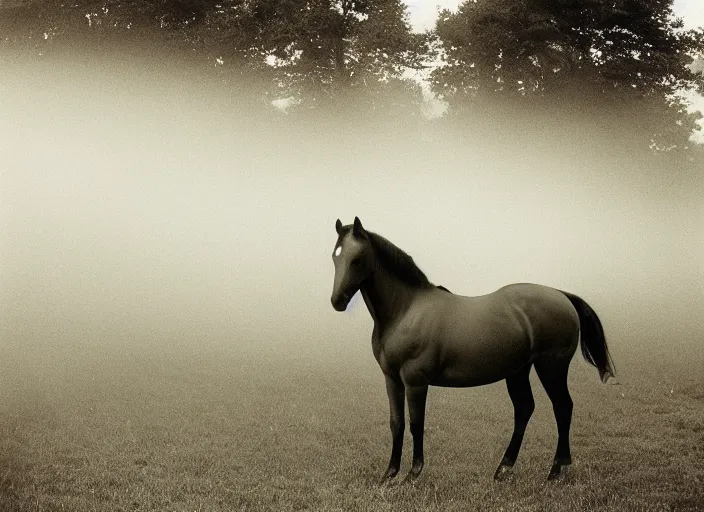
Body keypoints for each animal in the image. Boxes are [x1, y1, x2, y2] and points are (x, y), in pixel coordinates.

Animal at [330, 216, 616, 484]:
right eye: (335, 257)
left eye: (357, 259)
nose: (337, 302)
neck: (406, 310)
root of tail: (561, 295)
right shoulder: (391, 379)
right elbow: (396, 423)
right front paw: (389, 475)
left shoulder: (415, 381)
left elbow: (416, 424)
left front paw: (413, 474)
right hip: (518, 371)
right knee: (525, 409)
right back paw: (504, 469)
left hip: (551, 368)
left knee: (562, 407)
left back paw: (557, 470)